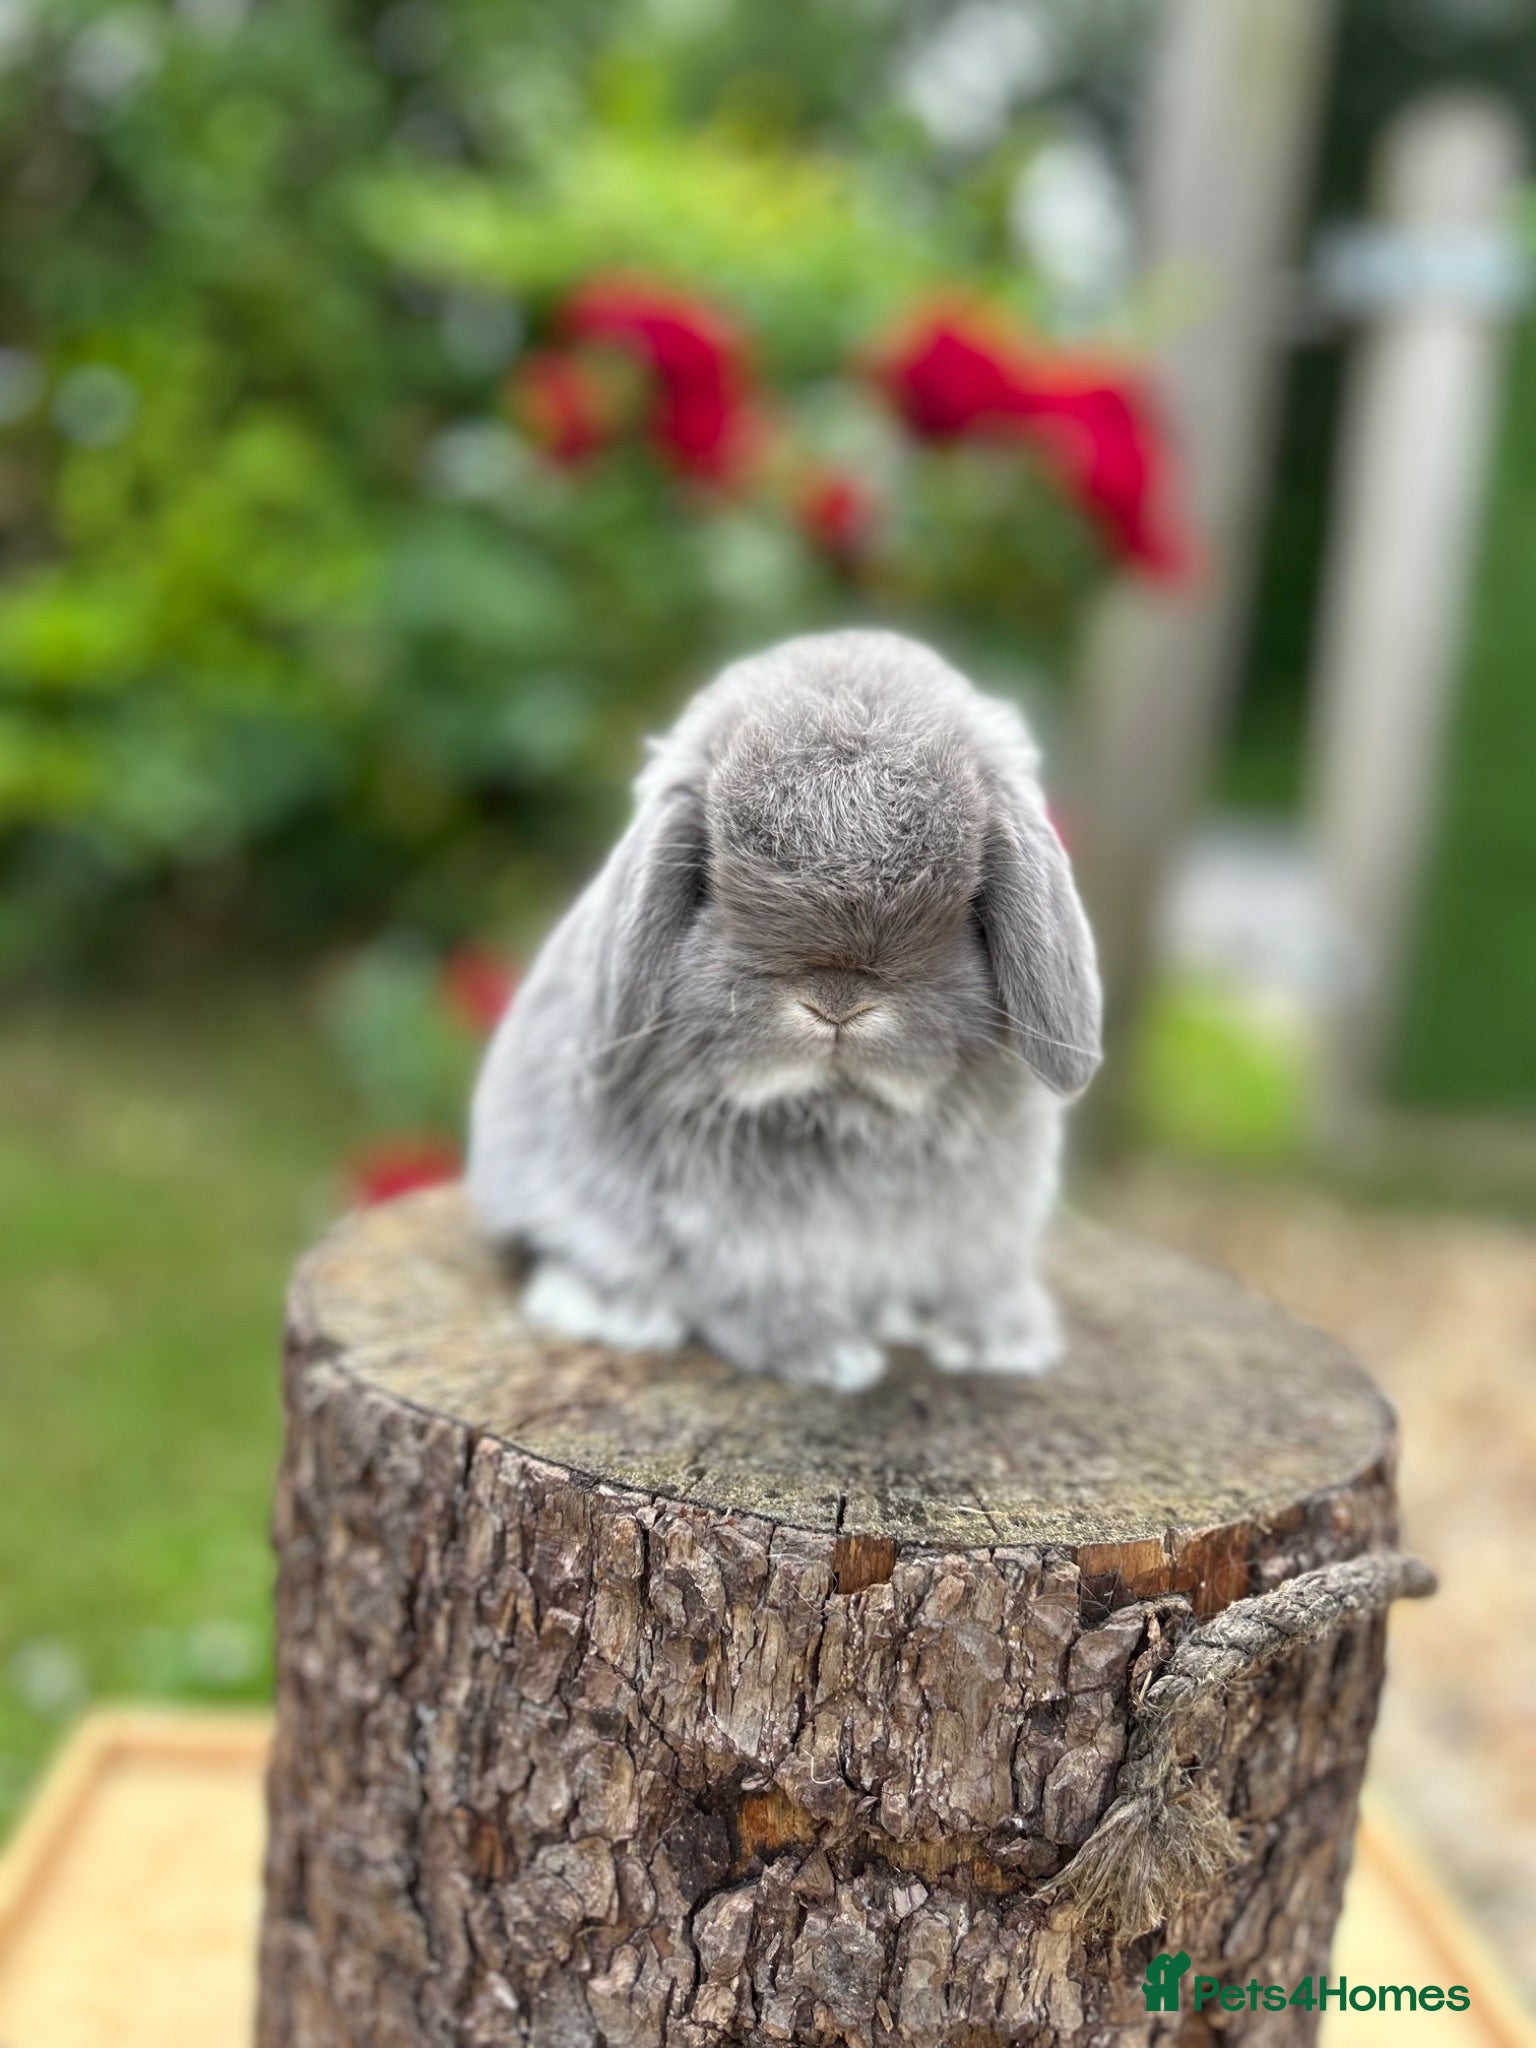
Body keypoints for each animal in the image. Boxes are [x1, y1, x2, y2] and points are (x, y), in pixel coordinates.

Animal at [467, 629, 1101, 1392]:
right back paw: (617, 1314)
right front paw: (827, 1359)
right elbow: (754, 1293)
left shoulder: (983, 1230)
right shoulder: (726, 1236)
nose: (837, 1004)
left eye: (970, 898)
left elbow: (972, 1280)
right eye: (710, 883)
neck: (842, 1105)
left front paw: (1002, 1342)